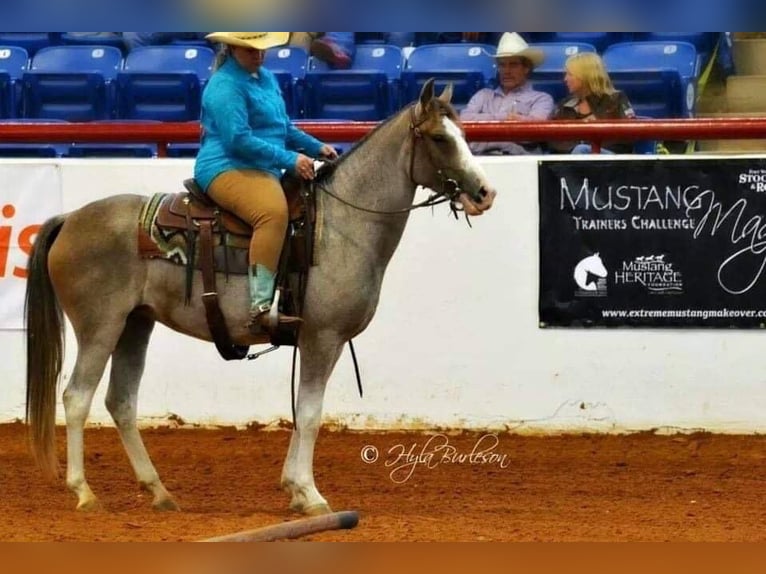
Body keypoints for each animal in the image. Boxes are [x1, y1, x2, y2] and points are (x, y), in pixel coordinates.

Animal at [24, 79, 498, 516]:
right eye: (440, 138)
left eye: (464, 134)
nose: (484, 193)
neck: (338, 225)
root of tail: (70, 219)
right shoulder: (322, 338)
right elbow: (310, 413)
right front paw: (311, 494)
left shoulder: (318, 342)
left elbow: (301, 411)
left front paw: (294, 489)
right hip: (100, 326)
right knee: (77, 397)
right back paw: (85, 493)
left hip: (135, 324)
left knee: (120, 400)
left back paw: (159, 491)